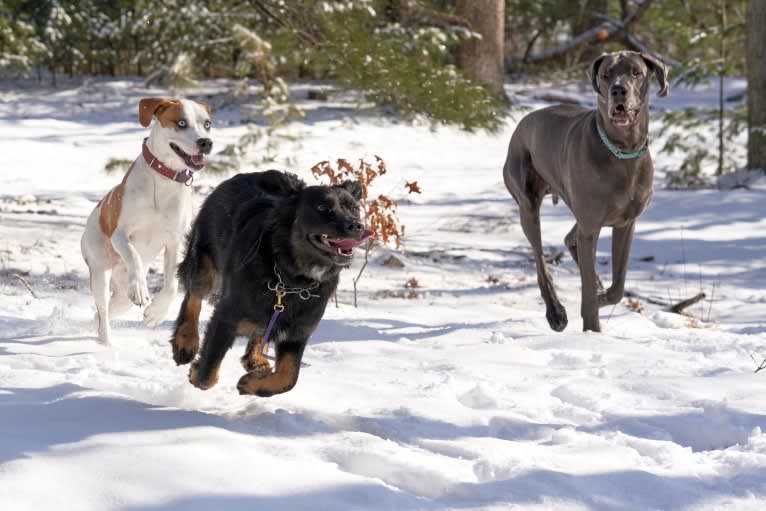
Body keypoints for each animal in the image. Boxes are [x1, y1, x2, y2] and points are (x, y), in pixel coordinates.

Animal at [82, 97, 213, 344]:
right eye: (181, 122)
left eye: (207, 124)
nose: (206, 142)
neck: (163, 179)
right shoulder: (120, 234)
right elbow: (133, 255)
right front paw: (142, 289)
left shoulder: (174, 241)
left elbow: (172, 284)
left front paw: (156, 313)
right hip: (99, 269)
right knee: (102, 309)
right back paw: (106, 341)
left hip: (122, 296)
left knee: (106, 310)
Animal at [175, 170, 378, 398]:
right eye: (322, 208)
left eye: (354, 208)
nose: (357, 226)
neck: (290, 278)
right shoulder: (227, 316)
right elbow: (206, 375)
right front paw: (196, 371)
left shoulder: (298, 331)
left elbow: (289, 378)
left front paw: (252, 384)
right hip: (204, 264)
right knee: (193, 296)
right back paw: (185, 342)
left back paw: (255, 359)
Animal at [504, 51, 664, 332]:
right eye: (606, 74)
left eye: (636, 72)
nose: (618, 90)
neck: (621, 151)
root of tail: (522, 123)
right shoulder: (591, 227)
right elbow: (587, 290)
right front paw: (591, 329)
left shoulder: (625, 224)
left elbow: (618, 287)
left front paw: (601, 295)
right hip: (527, 203)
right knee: (540, 260)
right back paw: (556, 313)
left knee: (571, 238)